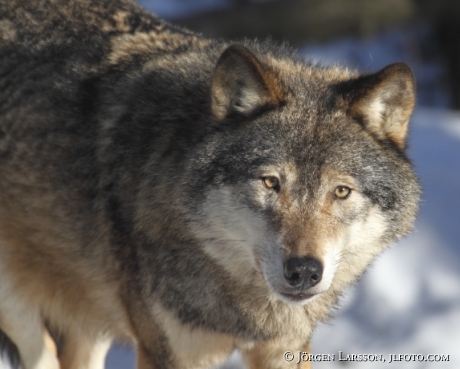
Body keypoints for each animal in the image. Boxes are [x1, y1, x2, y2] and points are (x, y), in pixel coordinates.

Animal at [0, 0, 420, 368]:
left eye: (341, 191)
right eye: (270, 182)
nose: (303, 271)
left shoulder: (285, 348)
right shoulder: (168, 352)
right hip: (19, 308)